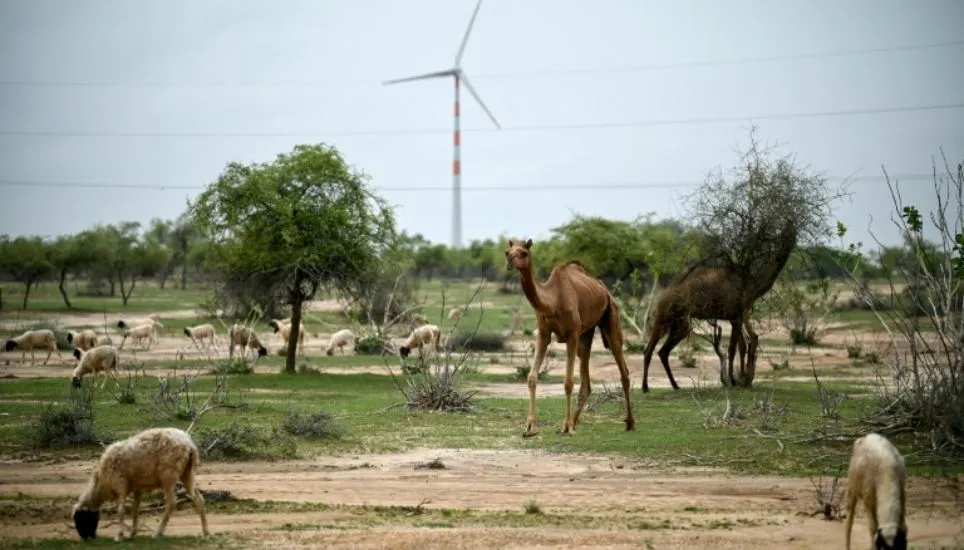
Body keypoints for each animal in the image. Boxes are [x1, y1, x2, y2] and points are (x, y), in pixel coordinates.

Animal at [72, 426, 212, 544]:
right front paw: (131, 534)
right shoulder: (136, 488)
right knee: (199, 499)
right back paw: (205, 532)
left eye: (80, 519)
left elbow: (121, 510)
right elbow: (135, 509)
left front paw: (119, 535)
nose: (86, 538)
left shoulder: (120, 483)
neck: (101, 482)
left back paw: (157, 533)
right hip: (187, 472)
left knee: (171, 503)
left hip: (168, 475)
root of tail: (189, 445)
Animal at [504, 239, 632, 438]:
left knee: (623, 369)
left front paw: (566, 426)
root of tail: (605, 290)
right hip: (586, 334)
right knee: (587, 379)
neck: (553, 301)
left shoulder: (572, 334)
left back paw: (629, 423)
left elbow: (568, 382)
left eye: (524, 252)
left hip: (611, 318)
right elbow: (532, 377)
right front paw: (531, 427)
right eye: (508, 251)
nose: (509, 260)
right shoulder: (544, 333)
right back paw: (576, 421)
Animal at [640, 220, 800, 392]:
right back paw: (645, 387)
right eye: (788, 227)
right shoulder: (736, 316)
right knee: (650, 350)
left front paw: (738, 378)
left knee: (661, 351)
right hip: (664, 318)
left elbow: (741, 346)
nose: (792, 231)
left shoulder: (735, 317)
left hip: (678, 323)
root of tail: (662, 296)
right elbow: (734, 348)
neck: (750, 285)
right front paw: (735, 380)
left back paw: (675, 385)